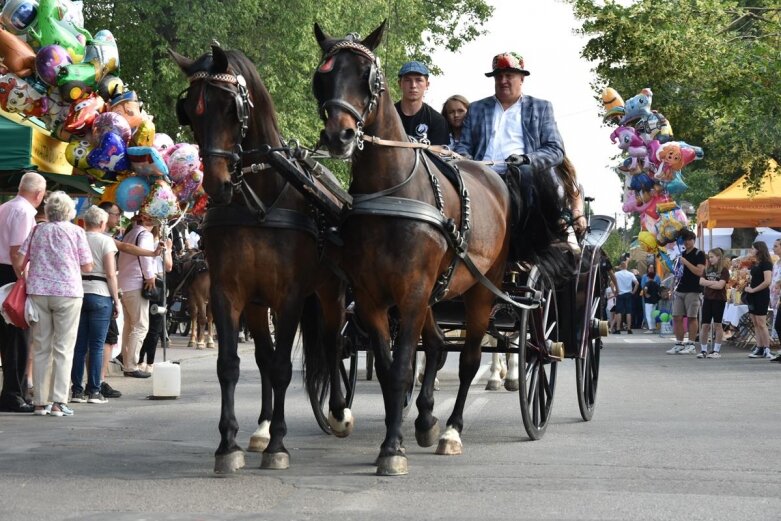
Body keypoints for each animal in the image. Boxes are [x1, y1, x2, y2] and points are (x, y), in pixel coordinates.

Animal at [174, 44, 350, 474]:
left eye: (230, 108)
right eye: (190, 112)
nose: (216, 184)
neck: (258, 201)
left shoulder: (290, 296)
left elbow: (285, 366)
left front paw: (279, 446)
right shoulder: (228, 293)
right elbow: (232, 365)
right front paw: (229, 444)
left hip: (330, 292)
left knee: (332, 342)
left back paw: (338, 412)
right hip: (257, 305)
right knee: (265, 358)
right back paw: (264, 426)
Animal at [310, 22, 568, 474]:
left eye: (367, 76)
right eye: (322, 77)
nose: (339, 136)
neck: (393, 193)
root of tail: (495, 176)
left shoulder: (412, 293)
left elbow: (402, 368)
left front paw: (392, 449)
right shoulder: (373, 297)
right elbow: (391, 366)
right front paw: (395, 434)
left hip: (483, 289)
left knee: (469, 360)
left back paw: (451, 430)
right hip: (436, 293)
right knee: (435, 347)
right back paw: (428, 420)